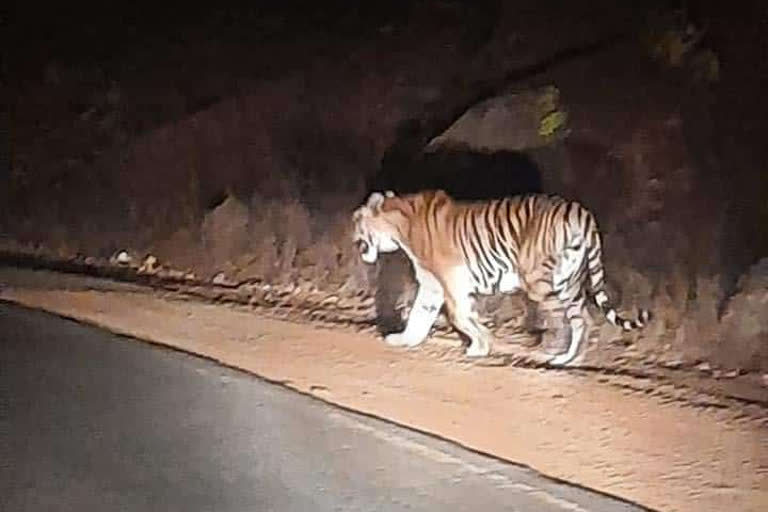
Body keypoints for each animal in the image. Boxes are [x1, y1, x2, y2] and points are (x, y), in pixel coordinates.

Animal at [352, 190, 652, 366]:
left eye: (357, 220)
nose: (353, 238)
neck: (400, 225)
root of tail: (580, 211)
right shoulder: (432, 286)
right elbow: (420, 315)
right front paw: (406, 339)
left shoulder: (449, 283)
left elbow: (460, 316)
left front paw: (481, 345)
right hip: (568, 282)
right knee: (583, 319)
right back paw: (570, 359)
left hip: (538, 281)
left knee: (561, 320)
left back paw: (551, 353)